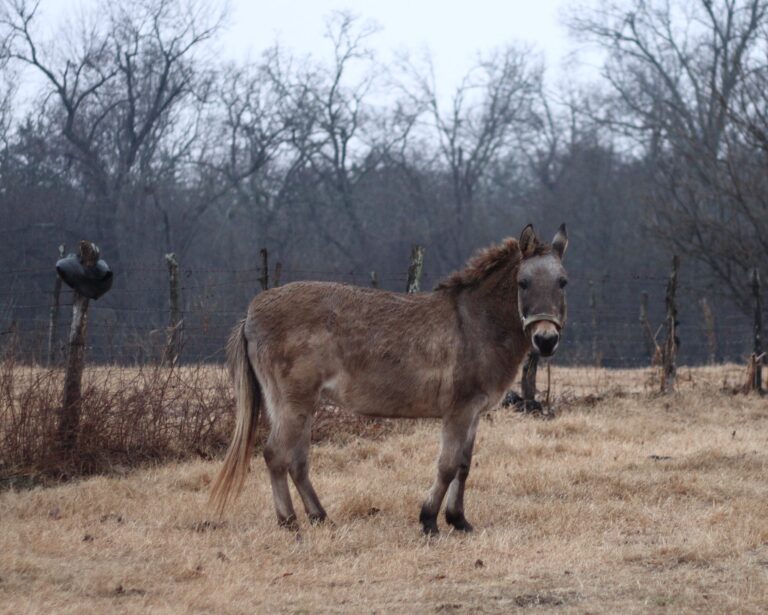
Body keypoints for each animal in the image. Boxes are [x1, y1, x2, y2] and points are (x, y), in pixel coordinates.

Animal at [210, 223, 569, 534]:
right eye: (523, 282)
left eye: (563, 282)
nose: (546, 340)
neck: (474, 325)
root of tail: (251, 314)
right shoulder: (459, 412)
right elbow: (447, 465)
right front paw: (429, 521)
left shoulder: (474, 414)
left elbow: (464, 466)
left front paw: (459, 520)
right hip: (292, 404)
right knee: (275, 455)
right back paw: (289, 523)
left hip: (300, 406)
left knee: (297, 461)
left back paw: (320, 518)